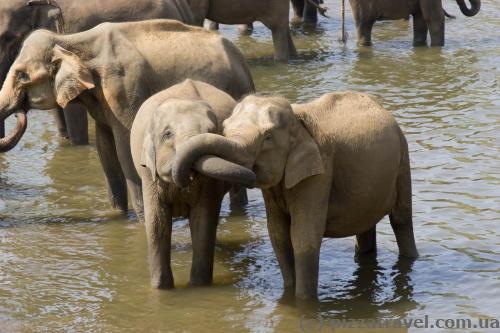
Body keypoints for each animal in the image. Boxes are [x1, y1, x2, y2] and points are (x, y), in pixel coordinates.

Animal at [0, 19, 254, 219]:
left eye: (21, 75)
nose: (20, 112)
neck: (71, 41)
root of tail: (242, 61)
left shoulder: (124, 90)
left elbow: (125, 149)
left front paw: (141, 221)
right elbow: (105, 149)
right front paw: (116, 215)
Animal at [130, 78, 254, 288]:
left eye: (212, 131)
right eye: (168, 134)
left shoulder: (209, 183)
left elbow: (203, 221)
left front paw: (199, 286)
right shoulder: (149, 174)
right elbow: (156, 223)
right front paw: (161, 288)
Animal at [172, 91, 418, 300]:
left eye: (268, 138)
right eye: (223, 127)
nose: (186, 180)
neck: (297, 120)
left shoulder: (319, 172)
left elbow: (304, 235)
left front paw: (302, 302)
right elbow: (279, 234)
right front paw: (289, 291)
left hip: (403, 157)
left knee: (401, 219)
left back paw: (410, 258)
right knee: (365, 225)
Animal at [348, 0, 480, 46]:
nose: (454, 16)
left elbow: (421, 19)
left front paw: (419, 45)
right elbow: (435, 18)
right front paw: (437, 47)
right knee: (365, 24)